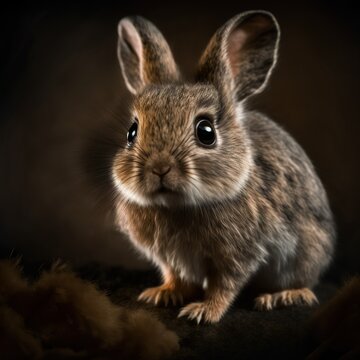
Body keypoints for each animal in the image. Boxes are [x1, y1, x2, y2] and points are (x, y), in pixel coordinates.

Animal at [112, 10, 334, 324]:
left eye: (206, 132)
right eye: (132, 132)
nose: (159, 167)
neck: (175, 206)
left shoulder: (239, 254)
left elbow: (224, 285)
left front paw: (203, 312)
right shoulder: (171, 259)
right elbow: (176, 277)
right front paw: (162, 294)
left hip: (307, 253)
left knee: (306, 283)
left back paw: (283, 296)